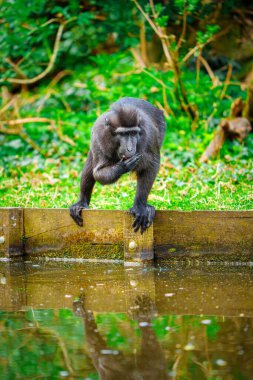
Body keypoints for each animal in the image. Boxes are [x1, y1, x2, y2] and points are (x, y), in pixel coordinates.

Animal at [69, 97, 165, 235]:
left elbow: (152, 165)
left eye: (133, 133)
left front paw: (140, 207)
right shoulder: (99, 136)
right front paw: (123, 166)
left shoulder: (149, 135)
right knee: (91, 162)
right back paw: (82, 202)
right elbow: (98, 173)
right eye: (123, 134)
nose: (130, 148)